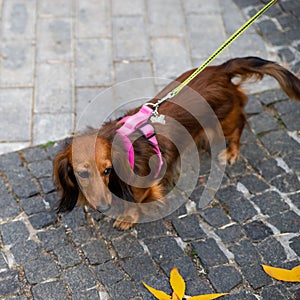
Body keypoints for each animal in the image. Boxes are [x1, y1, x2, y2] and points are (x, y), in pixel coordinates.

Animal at [54, 56, 300, 230]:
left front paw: (127, 218)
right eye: (82, 173)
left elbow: (137, 202)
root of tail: (220, 70)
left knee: (240, 122)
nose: (103, 206)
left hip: (225, 121)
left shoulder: (146, 186)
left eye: (107, 170)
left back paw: (231, 151)